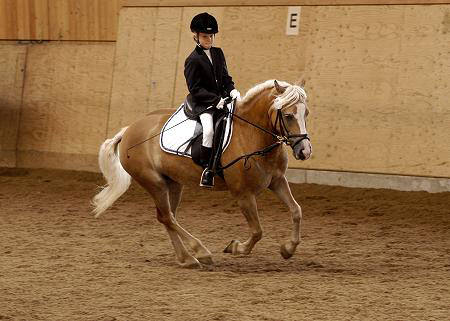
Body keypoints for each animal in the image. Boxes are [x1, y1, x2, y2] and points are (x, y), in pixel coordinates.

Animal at [93, 79, 312, 266]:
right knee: (167, 217)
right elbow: (258, 231)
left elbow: (297, 211)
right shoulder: (243, 194)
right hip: (154, 183)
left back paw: (186, 258)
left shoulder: (277, 180)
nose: (304, 151)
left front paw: (288, 249)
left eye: (306, 113)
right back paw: (200, 251)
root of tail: (129, 130)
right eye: (288, 116)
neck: (252, 135)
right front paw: (236, 247)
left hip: (172, 183)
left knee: (167, 217)